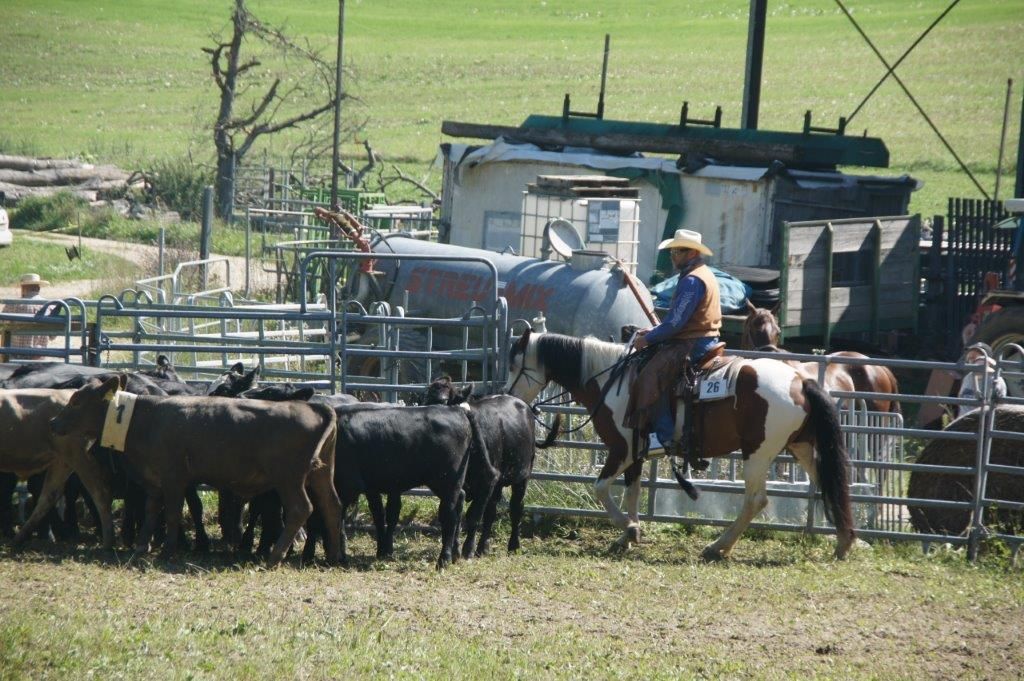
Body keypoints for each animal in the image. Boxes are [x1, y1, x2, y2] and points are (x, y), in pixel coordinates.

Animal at [504, 329, 856, 561]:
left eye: (514, 364)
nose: (508, 396)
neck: (610, 381)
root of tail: (801, 381)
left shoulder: (622, 449)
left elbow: (601, 488)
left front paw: (629, 530)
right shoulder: (635, 454)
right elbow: (633, 492)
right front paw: (627, 536)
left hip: (758, 452)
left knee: (755, 500)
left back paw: (718, 547)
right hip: (802, 446)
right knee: (830, 485)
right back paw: (843, 543)